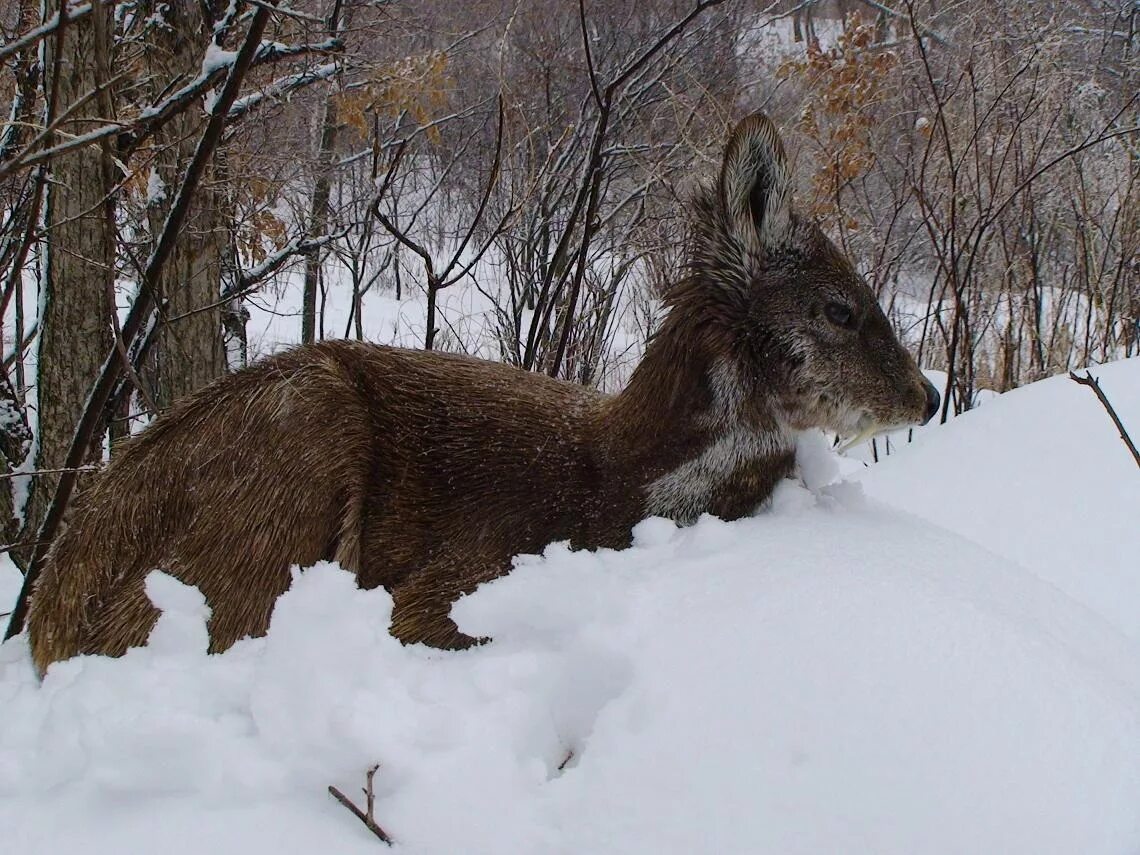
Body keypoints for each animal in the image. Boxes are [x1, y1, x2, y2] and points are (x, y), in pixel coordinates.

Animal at [26, 114, 939, 674]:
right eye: (840, 307)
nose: (928, 395)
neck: (620, 483)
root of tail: (46, 615)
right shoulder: (452, 579)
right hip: (295, 442)